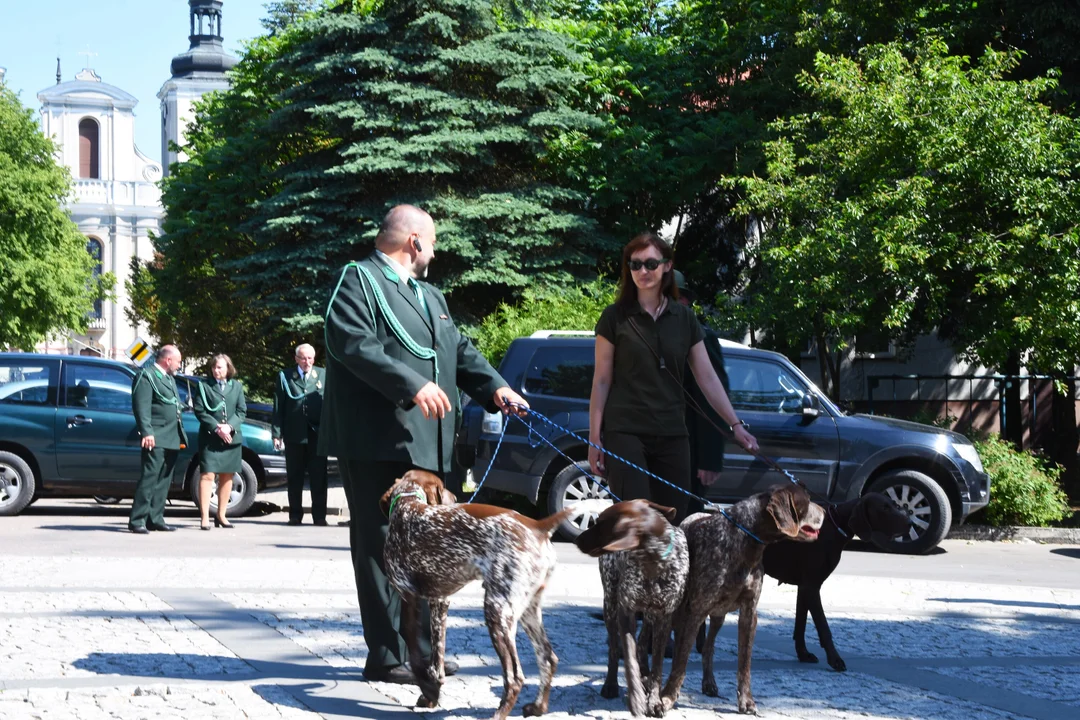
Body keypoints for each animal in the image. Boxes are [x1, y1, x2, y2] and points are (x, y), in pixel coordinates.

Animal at [380, 470, 570, 720]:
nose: (455, 497)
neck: (409, 502)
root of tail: (538, 525)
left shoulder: (409, 597)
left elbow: (415, 655)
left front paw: (428, 691)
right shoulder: (439, 602)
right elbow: (436, 661)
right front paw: (432, 693)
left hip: (497, 611)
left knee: (515, 677)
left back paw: (499, 714)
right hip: (528, 610)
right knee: (548, 659)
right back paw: (538, 707)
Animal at [578, 505, 686, 716]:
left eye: (600, 523)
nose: (577, 538)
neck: (654, 563)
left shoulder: (663, 617)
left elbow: (657, 666)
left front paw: (654, 701)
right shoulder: (625, 612)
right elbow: (629, 659)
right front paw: (636, 698)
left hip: (649, 615)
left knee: (643, 643)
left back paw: (644, 675)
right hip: (610, 606)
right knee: (614, 649)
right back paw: (612, 684)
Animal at [656, 483, 825, 716]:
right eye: (807, 501)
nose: (825, 511)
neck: (746, 544)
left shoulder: (749, 613)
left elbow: (744, 664)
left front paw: (746, 701)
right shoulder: (696, 612)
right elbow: (680, 662)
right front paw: (667, 697)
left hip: (717, 615)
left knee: (708, 647)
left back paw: (709, 683)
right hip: (682, 612)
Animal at [760, 492, 911, 673]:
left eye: (895, 504)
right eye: (884, 508)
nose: (910, 523)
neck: (836, 525)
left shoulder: (804, 588)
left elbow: (801, 624)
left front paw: (803, 654)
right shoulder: (811, 587)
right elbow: (824, 628)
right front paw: (835, 659)